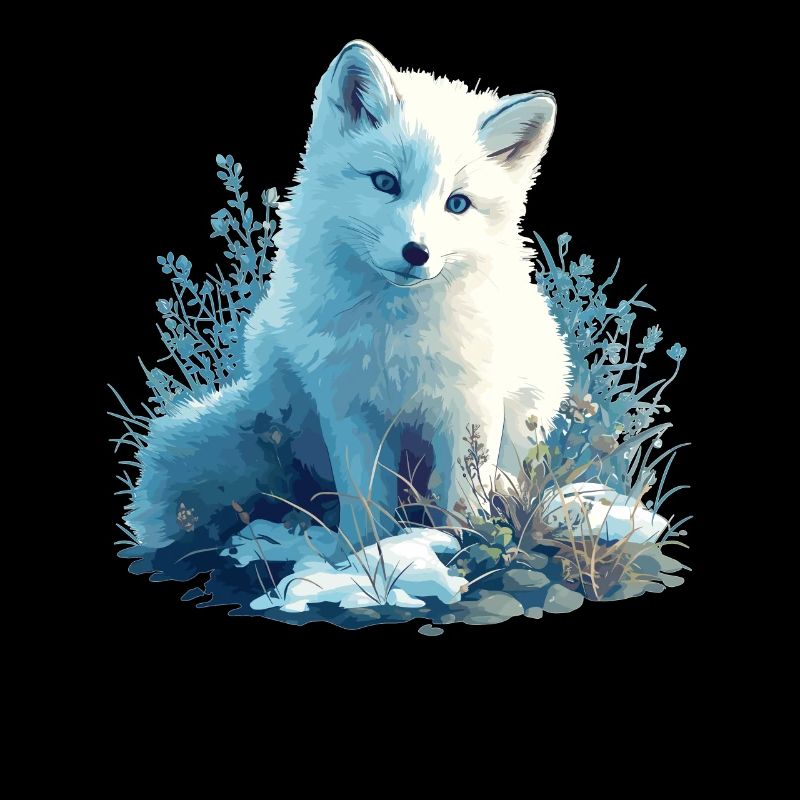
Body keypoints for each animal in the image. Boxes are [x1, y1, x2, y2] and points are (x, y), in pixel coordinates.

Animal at [126, 40, 571, 551]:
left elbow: (462, 495)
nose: (416, 252)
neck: (397, 338)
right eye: (385, 182)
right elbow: (363, 495)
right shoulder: (348, 406)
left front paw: (465, 545)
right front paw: (360, 555)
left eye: (457, 203)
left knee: (501, 477)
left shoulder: (470, 403)